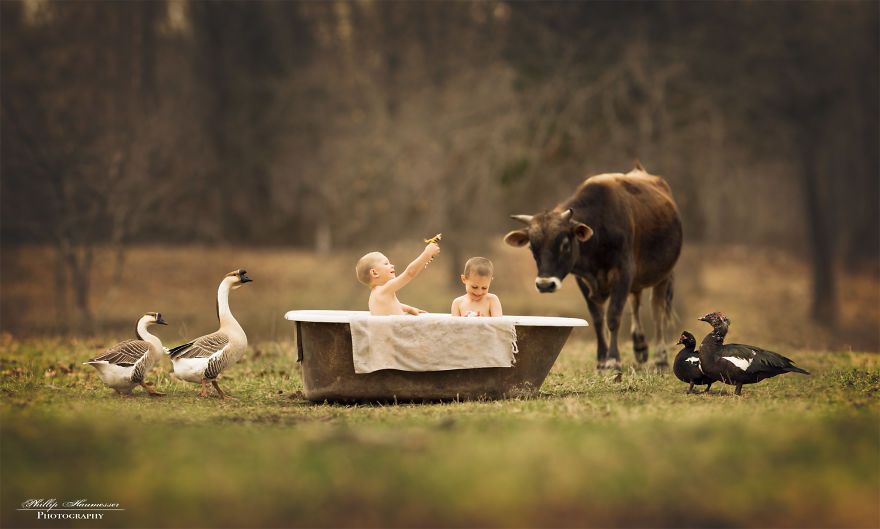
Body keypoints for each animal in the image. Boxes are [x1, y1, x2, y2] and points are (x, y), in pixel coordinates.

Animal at [502, 161, 680, 368]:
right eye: (532, 246)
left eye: (565, 244)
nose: (545, 285)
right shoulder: (584, 280)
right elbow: (597, 319)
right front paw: (601, 361)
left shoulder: (623, 273)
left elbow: (613, 317)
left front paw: (613, 359)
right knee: (635, 303)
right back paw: (640, 347)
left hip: (663, 274)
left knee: (657, 311)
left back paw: (661, 358)